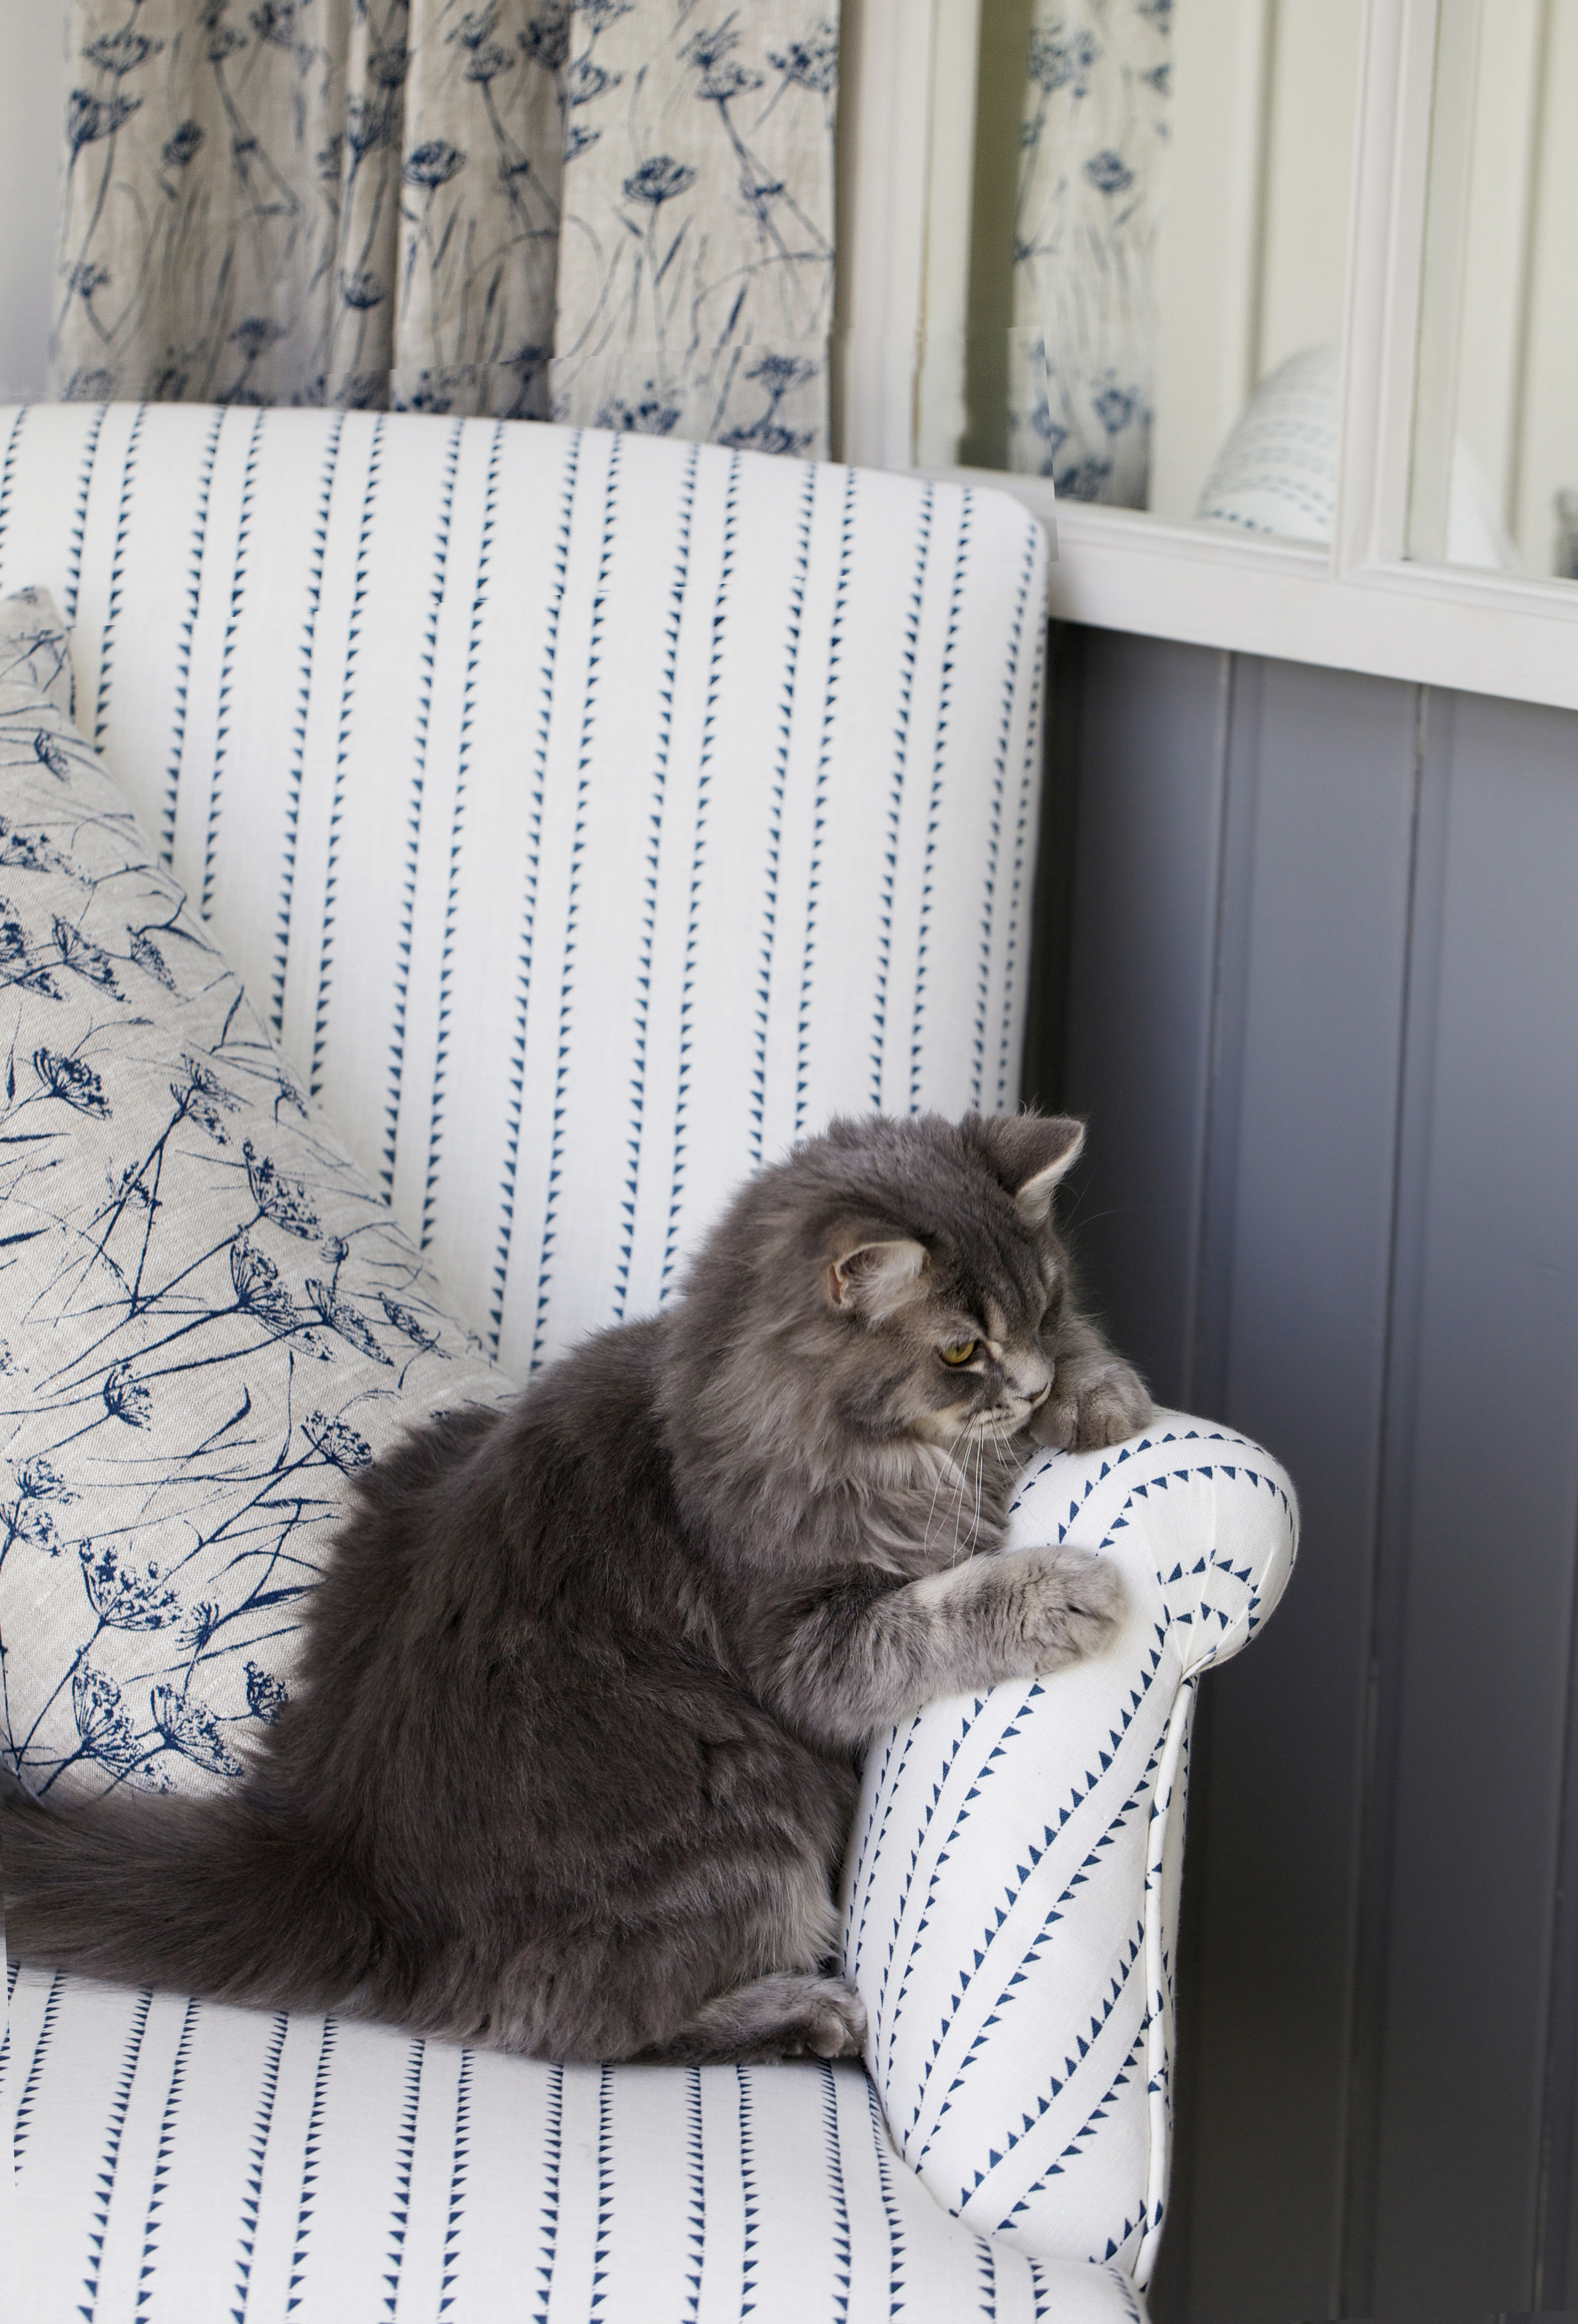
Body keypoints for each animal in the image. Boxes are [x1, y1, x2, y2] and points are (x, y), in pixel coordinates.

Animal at [6, 1115, 1153, 2063]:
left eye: (1047, 1303)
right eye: (960, 1348)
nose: (1029, 1385)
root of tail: (343, 1856)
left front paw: (1098, 1393)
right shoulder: (803, 1641)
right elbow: (939, 1610)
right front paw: (1060, 1589)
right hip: (747, 1809)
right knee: (584, 2021)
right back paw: (802, 2011)